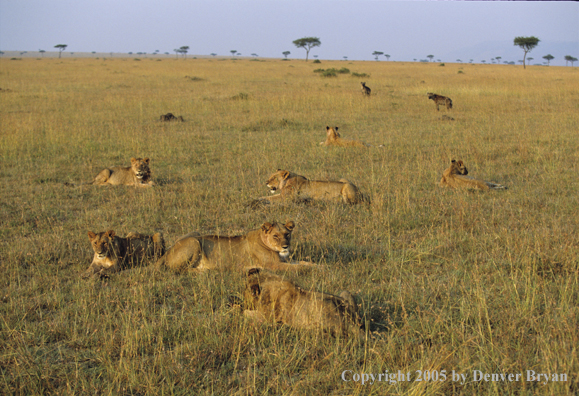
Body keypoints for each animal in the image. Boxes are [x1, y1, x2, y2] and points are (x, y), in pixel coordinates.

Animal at [155, 220, 318, 272]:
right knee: (180, 270)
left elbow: (303, 262)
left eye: (287, 235)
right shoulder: (273, 265)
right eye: (275, 236)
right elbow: (298, 268)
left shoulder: (284, 260)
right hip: (194, 241)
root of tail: (166, 252)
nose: (285, 247)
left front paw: (318, 266)